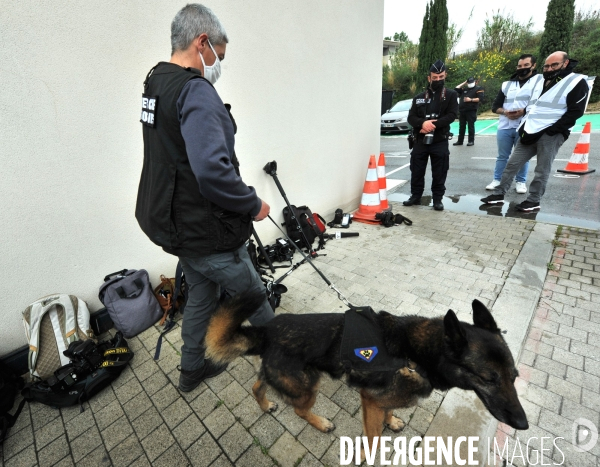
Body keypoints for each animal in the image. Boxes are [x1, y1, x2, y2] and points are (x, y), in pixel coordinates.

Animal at [204, 294, 528, 456]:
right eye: (489, 379)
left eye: (514, 376)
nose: (523, 425)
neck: (418, 353)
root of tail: (267, 330)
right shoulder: (369, 401)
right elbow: (373, 440)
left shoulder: (380, 399)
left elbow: (388, 411)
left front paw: (392, 421)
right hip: (308, 385)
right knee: (297, 409)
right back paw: (319, 422)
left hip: (286, 377)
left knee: (258, 385)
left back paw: (265, 404)